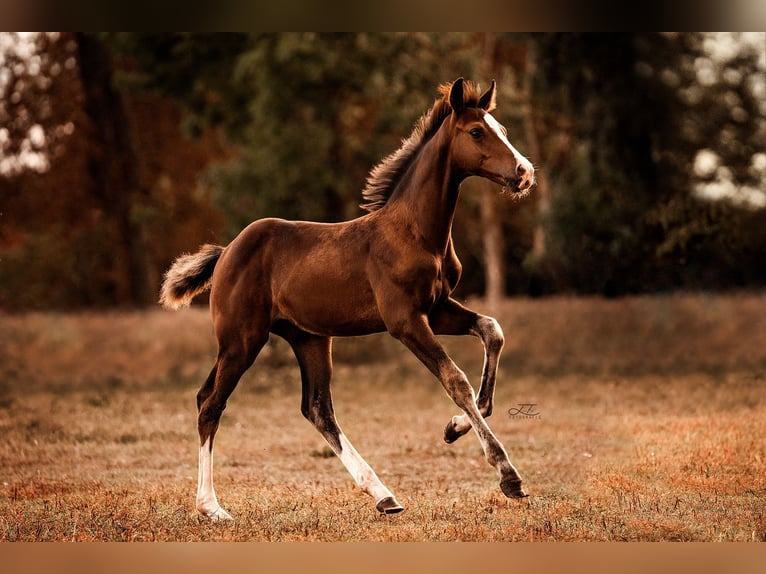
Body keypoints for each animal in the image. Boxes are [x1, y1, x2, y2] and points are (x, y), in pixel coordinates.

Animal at [159, 77, 536, 520]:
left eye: (503, 130)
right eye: (476, 132)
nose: (524, 172)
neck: (415, 232)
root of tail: (225, 252)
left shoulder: (437, 309)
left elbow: (492, 330)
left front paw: (453, 427)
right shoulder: (404, 320)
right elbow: (454, 378)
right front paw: (508, 475)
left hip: (309, 338)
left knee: (316, 408)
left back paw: (384, 495)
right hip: (241, 340)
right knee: (211, 404)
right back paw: (212, 507)